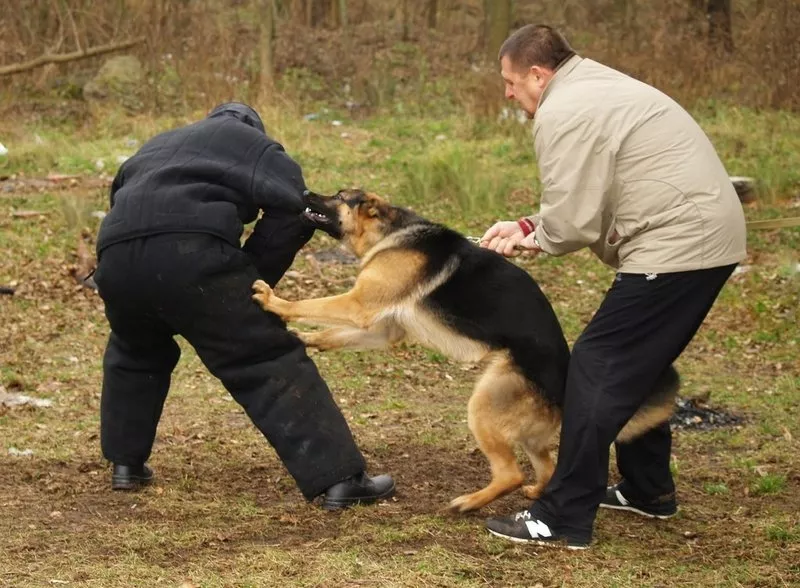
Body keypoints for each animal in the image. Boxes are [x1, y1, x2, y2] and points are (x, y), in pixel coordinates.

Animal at [253, 191, 680, 512]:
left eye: (340, 196)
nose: (306, 191)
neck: (393, 233)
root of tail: (564, 380)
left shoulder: (359, 305)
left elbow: (315, 304)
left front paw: (277, 303)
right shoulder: (384, 327)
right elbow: (334, 332)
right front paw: (307, 339)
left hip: (484, 405)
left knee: (511, 474)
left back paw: (470, 503)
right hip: (526, 432)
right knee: (544, 468)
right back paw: (534, 494)